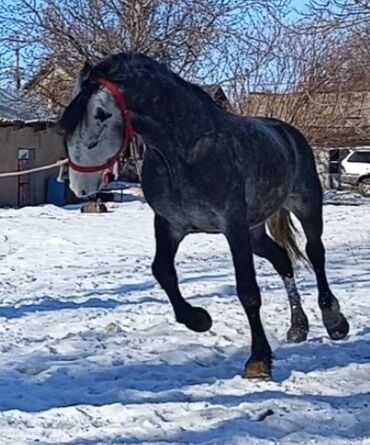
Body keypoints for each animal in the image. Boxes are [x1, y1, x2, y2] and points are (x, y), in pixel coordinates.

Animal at [58, 52, 350, 378]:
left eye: (101, 115)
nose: (80, 186)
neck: (186, 152)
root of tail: (287, 133)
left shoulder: (233, 226)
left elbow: (248, 290)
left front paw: (259, 359)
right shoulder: (170, 224)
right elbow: (162, 271)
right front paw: (199, 319)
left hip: (305, 205)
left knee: (315, 253)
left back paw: (334, 321)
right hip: (255, 232)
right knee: (282, 260)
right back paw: (298, 327)